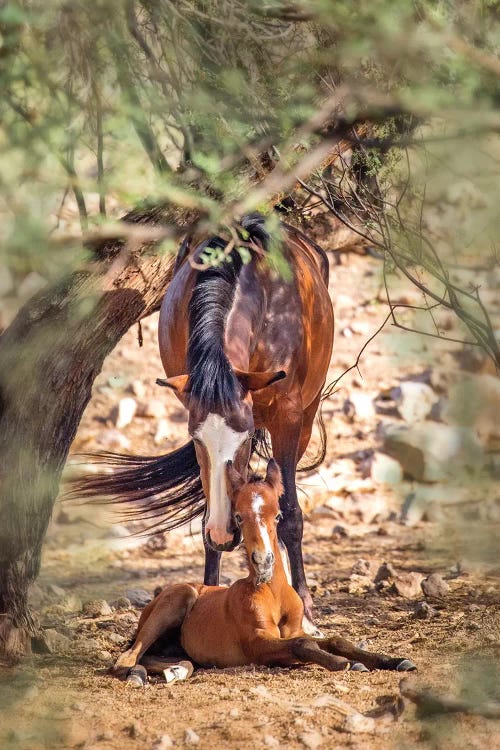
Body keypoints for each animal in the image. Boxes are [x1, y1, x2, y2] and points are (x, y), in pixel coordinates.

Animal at [70, 213, 334, 628]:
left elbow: (289, 514)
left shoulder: (289, 418)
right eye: (196, 440)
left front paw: (304, 606)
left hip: (306, 416)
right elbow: (213, 507)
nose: (225, 532)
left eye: (244, 439)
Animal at [113, 458, 414, 688]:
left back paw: (176, 670)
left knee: (157, 657)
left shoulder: (294, 629)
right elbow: (303, 644)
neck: (274, 592)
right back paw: (137, 674)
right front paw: (344, 663)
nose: (264, 561)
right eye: (238, 516)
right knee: (127, 658)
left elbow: (333, 639)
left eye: (278, 515)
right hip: (179, 598)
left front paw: (392, 660)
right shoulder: (257, 643)